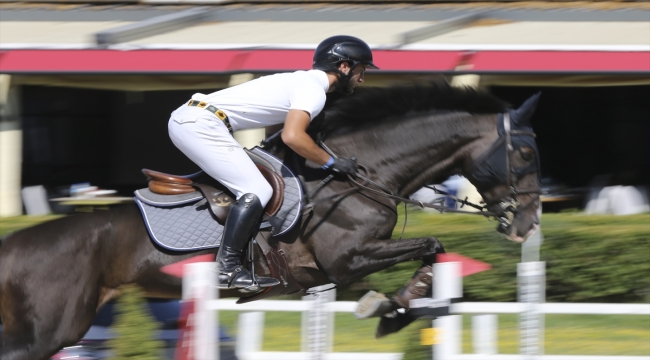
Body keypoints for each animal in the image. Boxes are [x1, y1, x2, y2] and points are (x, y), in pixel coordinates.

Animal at [0, 81, 536, 360]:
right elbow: (430, 244)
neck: (363, 174)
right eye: (526, 154)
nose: (526, 226)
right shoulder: (348, 261)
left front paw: (394, 311)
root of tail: (13, 248)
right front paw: (386, 309)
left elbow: (434, 250)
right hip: (55, 328)